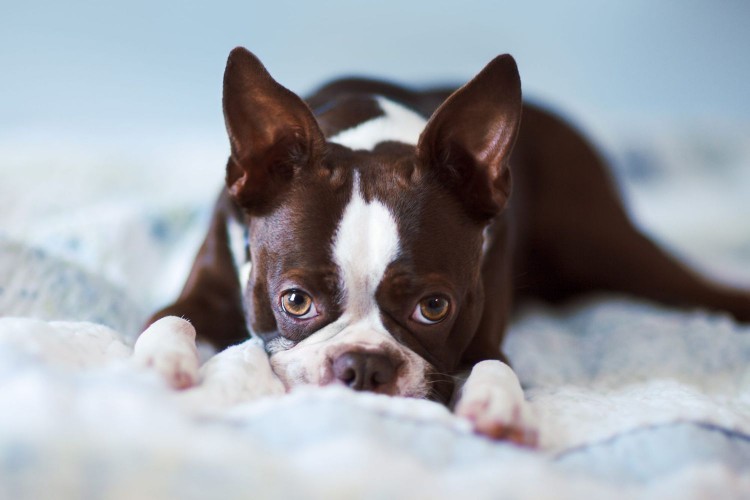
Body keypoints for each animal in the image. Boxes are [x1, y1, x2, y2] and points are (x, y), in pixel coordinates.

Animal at [138, 47, 750, 446]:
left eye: (433, 307)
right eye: (295, 301)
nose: (364, 366)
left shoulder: (483, 327)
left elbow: (494, 363)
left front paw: (498, 403)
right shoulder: (211, 282)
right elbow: (169, 318)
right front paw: (165, 361)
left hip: (608, 246)